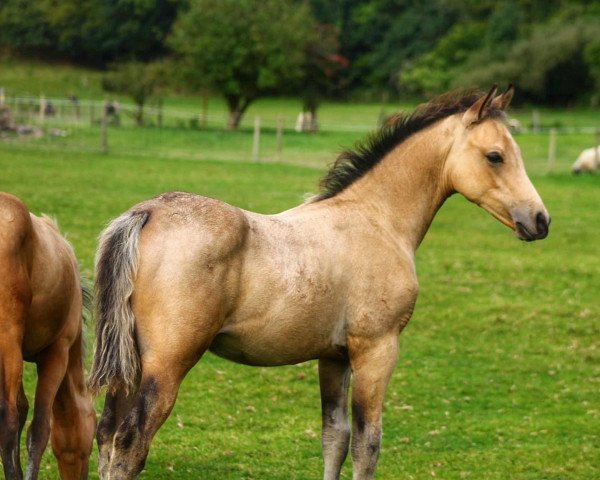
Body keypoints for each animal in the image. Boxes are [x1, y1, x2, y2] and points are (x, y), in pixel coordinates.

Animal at [88, 87, 548, 480]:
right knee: (130, 443)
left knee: (107, 435)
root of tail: (149, 212)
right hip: (166, 365)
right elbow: (367, 443)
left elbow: (334, 439)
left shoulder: (333, 357)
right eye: (495, 156)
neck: (377, 218)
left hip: (129, 364)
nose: (540, 220)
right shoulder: (377, 350)